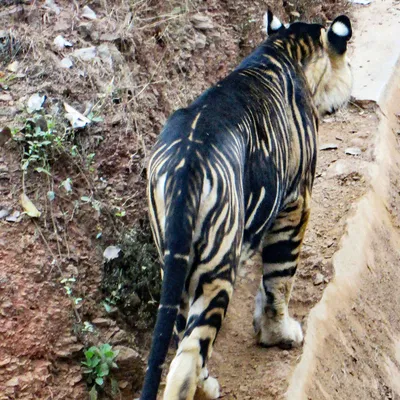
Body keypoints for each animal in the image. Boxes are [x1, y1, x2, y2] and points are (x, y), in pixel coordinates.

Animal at [140, 9, 350, 400]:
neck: (284, 46)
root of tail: (187, 163)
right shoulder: (296, 202)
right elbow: (280, 278)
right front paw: (279, 334)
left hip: (175, 266)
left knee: (184, 339)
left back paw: (207, 383)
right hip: (216, 270)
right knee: (185, 360)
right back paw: (205, 388)